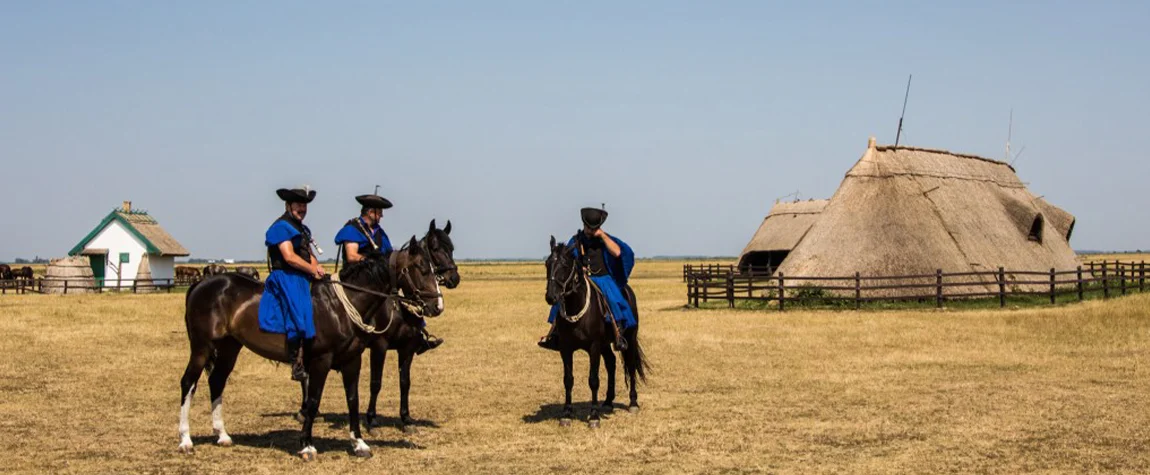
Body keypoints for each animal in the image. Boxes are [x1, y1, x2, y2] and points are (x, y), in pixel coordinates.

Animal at [177, 234, 441, 460]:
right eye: (421, 268)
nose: (437, 306)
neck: (340, 306)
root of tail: (202, 284)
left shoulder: (352, 360)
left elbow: (353, 399)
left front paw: (359, 443)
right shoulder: (320, 361)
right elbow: (313, 401)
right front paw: (307, 445)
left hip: (230, 348)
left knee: (217, 381)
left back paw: (222, 435)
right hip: (201, 347)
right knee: (188, 382)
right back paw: (186, 440)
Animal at [540, 235, 644, 425]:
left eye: (565, 265)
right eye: (547, 263)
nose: (551, 296)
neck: (577, 307)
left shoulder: (594, 347)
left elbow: (593, 379)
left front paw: (594, 415)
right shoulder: (565, 348)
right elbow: (568, 379)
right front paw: (567, 413)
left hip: (629, 338)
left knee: (631, 365)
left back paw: (633, 402)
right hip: (605, 344)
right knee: (611, 362)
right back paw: (608, 401)